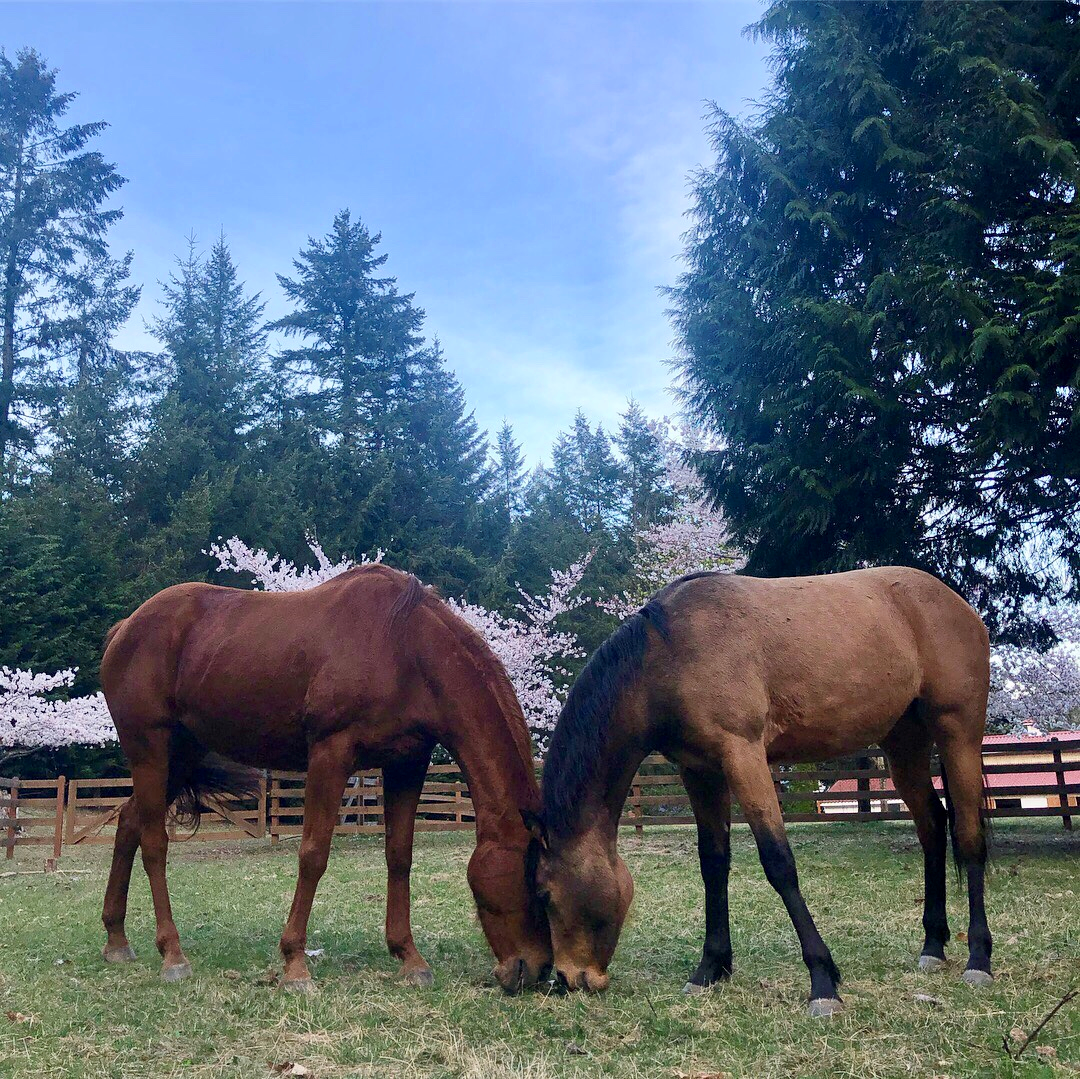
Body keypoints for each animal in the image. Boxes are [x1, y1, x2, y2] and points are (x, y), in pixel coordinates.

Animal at [98, 565, 552, 993]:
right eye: (538, 888)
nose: (537, 970)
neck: (404, 647)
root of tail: (124, 628)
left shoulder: (407, 763)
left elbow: (399, 856)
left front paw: (409, 957)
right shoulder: (330, 754)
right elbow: (313, 855)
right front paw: (295, 965)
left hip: (181, 756)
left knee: (129, 822)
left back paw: (116, 940)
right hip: (151, 750)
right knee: (154, 842)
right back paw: (172, 954)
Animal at [527, 570, 989, 1015]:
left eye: (544, 894)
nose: (567, 979)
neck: (668, 653)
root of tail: (956, 603)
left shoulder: (743, 756)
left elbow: (778, 863)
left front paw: (823, 982)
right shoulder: (701, 772)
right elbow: (713, 865)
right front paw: (710, 968)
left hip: (958, 734)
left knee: (968, 836)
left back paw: (979, 959)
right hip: (904, 746)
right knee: (933, 827)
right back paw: (933, 946)